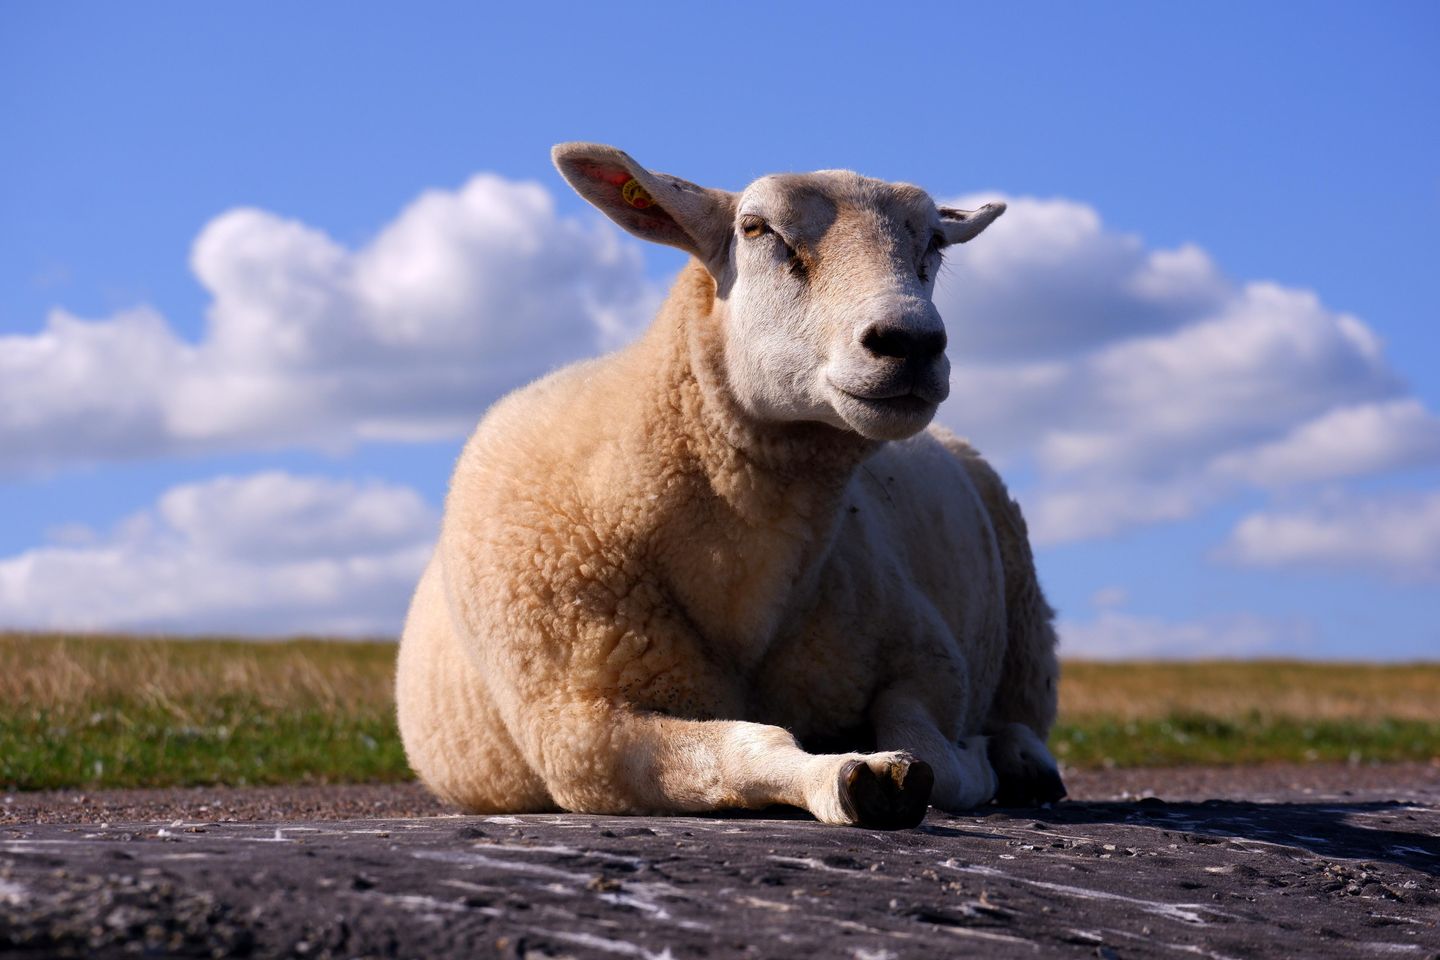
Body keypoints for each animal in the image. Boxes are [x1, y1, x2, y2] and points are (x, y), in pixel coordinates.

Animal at [394, 143, 1064, 828]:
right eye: (756, 228)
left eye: (934, 242)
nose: (912, 341)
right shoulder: (583, 733)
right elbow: (746, 748)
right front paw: (851, 777)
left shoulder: (929, 658)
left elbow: (932, 750)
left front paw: (971, 761)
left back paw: (1024, 757)